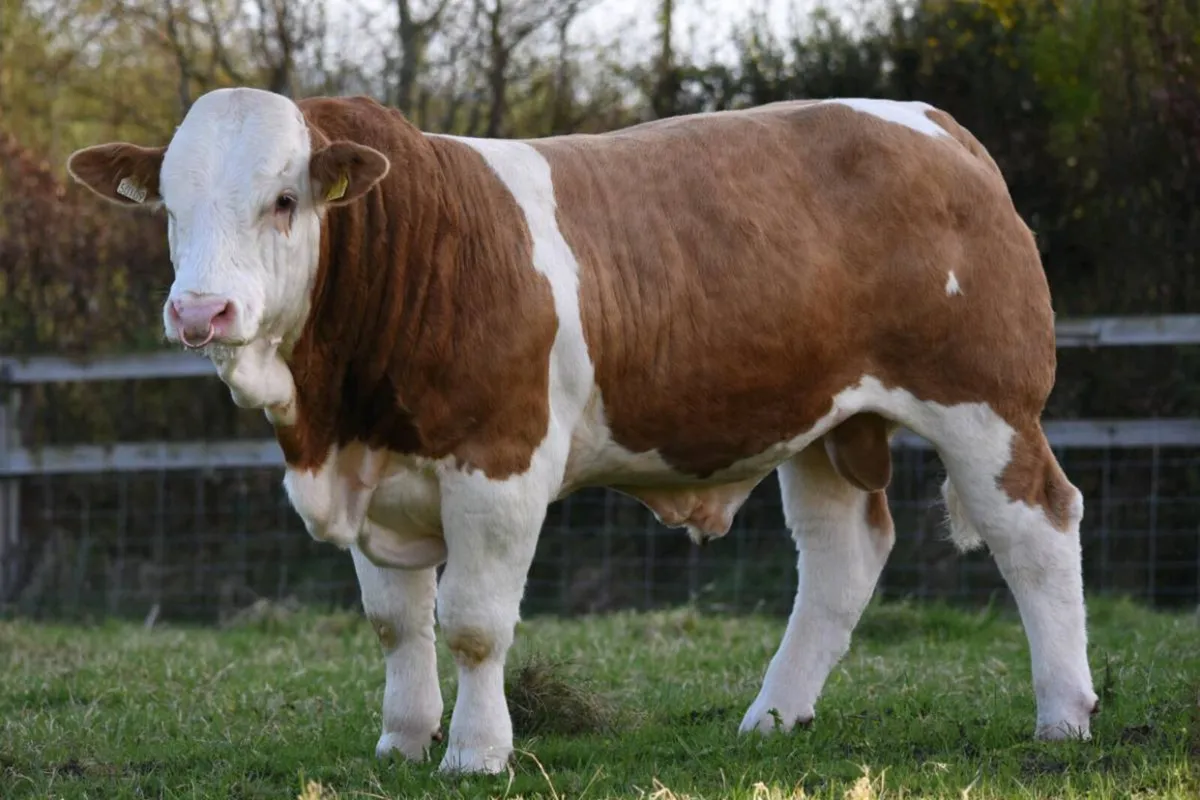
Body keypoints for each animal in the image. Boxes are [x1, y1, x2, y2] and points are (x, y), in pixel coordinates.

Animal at [66, 87, 1098, 774]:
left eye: (283, 201)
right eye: (169, 206)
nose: (201, 311)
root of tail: (933, 124)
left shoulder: (500, 462)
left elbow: (473, 623)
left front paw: (477, 753)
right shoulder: (376, 473)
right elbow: (396, 621)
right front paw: (403, 740)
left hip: (985, 403)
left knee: (1037, 531)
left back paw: (1064, 715)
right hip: (823, 422)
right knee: (842, 558)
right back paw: (773, 717)